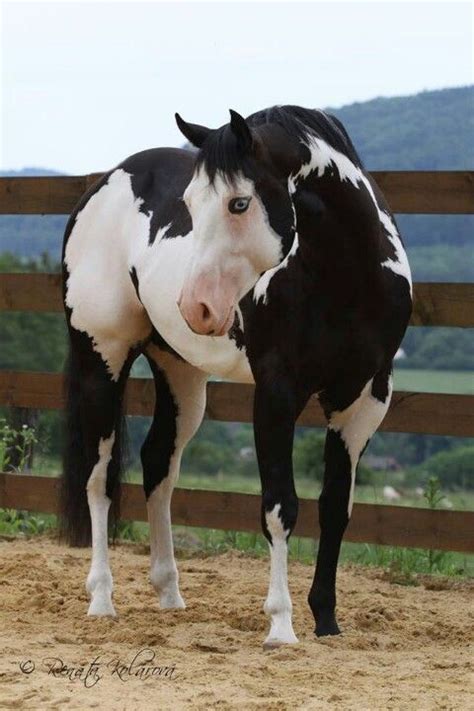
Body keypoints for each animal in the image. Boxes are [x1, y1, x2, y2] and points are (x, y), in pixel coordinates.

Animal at [61, 104, 412, 644]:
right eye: (189, 204)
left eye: (239, 203)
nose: (195, 307)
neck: (345, 275)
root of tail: (101, 187)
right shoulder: (276, 395)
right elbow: (280, 507)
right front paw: (281, 624)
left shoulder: (365, 399)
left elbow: (336, 508)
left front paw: (326, 620)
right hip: (101, 358)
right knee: (98, 478)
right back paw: (101, 598)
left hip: (181, 374)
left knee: (158, 463)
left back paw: (169, 593)